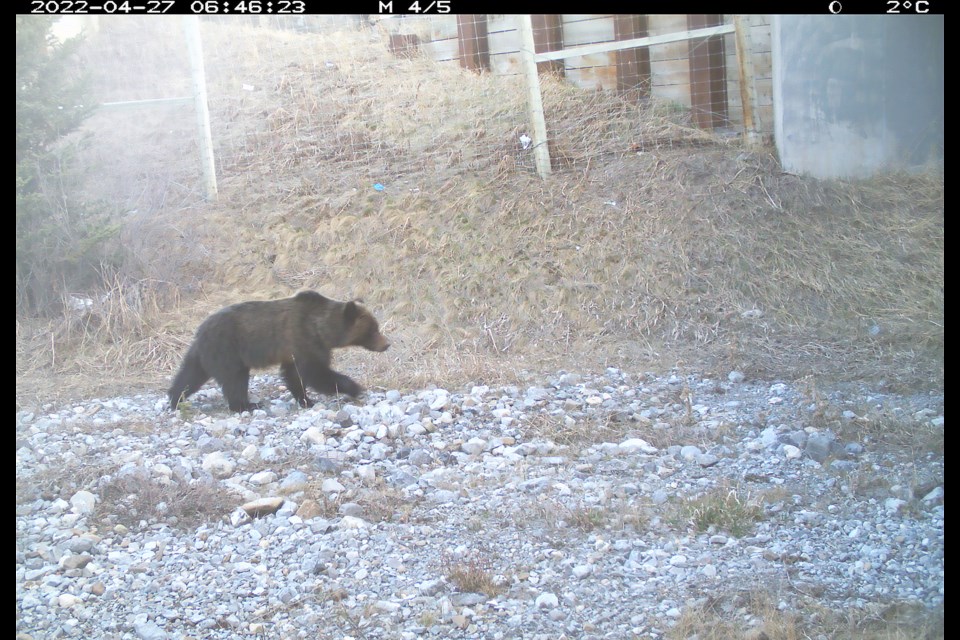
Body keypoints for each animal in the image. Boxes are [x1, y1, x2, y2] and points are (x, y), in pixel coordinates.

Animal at [169, 292, 390, 412]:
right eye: (373, 329)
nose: (387, 344)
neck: (322, 329)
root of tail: (200, 330)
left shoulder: (294, 351)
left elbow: (294, 375)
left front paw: (305, 399)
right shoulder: (304, 340)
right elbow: (316, 372)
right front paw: (355, 387)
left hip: (202, 353)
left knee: (189, 375)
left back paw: (174, 398)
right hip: (227, 347)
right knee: (235, 378)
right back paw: (245, 405)